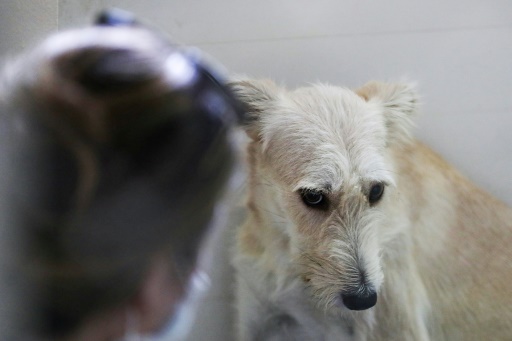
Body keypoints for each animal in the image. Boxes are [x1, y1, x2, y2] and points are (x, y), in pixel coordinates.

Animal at [230, 77, 512, 340]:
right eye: (313, 196)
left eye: (376, 191)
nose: (363, 300)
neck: (289, 261)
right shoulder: (257, 319)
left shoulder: (396, 327)